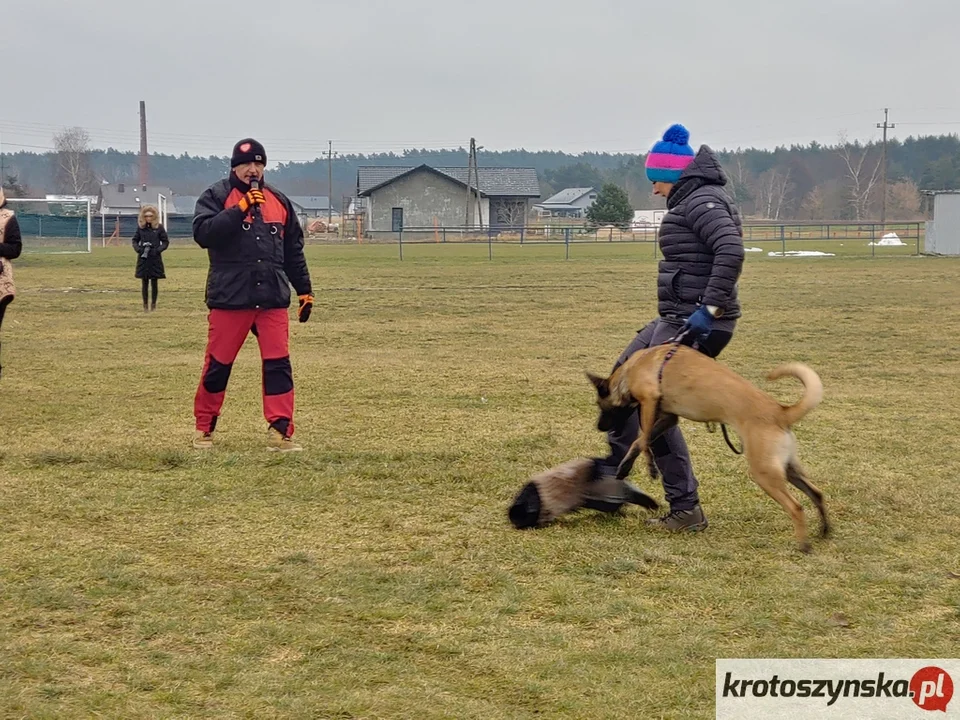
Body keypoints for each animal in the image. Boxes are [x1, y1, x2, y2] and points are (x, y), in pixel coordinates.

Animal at [588, 344, 828, 552]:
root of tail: (781, 412)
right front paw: (625, 466)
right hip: (786, 468)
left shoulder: (649, 400)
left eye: (600, 405)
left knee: (796, 507)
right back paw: (824, 531)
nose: (598, 427)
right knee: (816, 493)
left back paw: (804, 546)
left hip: (764, 472)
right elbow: (640, 441)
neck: (634, 366)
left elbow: (645, 439)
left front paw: (650, 467)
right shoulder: (668, 418)